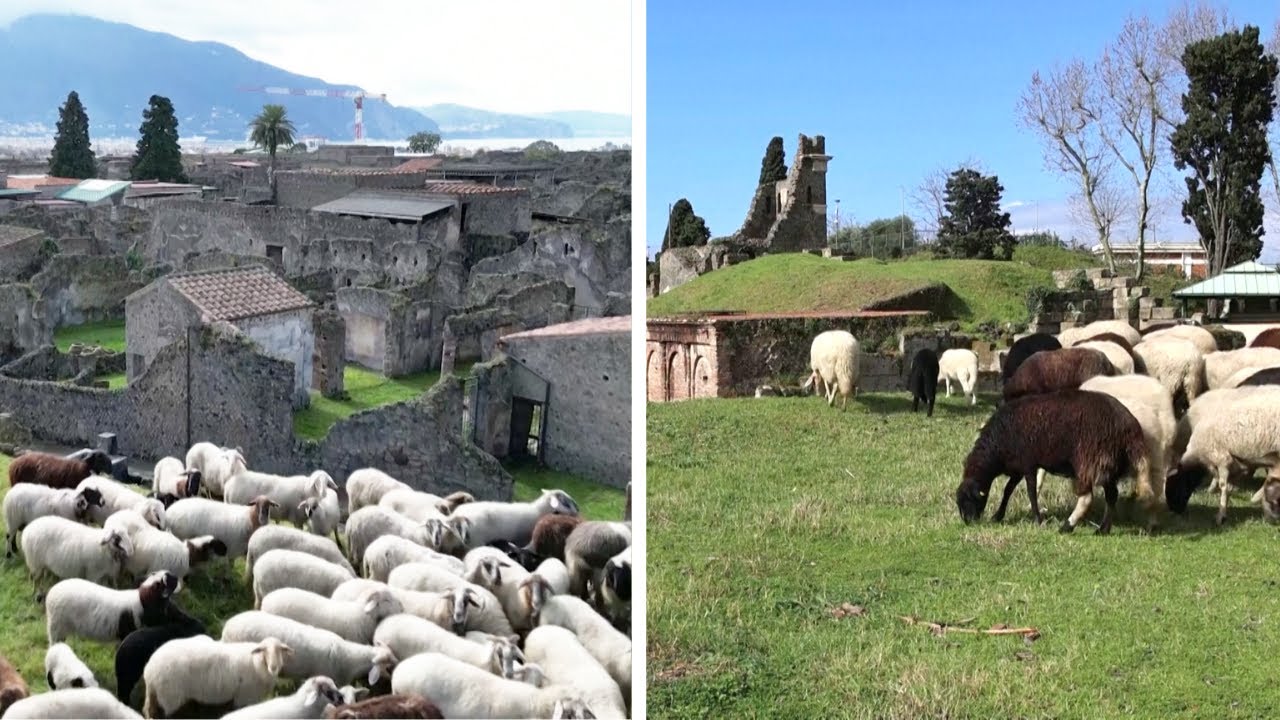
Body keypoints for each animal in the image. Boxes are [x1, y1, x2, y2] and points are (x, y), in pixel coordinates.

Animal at [43, 570, 178, 643]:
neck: (144, 602)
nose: (177, 578)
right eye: (169, 580)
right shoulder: (127, 633)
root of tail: (51, 592)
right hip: (57, 626)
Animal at [141, 635, 292, 718]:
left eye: (280, 650)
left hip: (156, 695)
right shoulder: (243, 698)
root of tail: (150, 670)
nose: (274, 667)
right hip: (171, 698)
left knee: (149, 710)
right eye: (263, 651)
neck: (256, 663)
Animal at [450, 489, 580, 548]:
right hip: (476, 541)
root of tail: (458, 517)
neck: (538, 512)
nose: (578, 509)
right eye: (566, 502)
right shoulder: (523, 539)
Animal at [955, 389, 1153, 534]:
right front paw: (998, 515)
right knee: (1112, 496)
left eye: (969, 499)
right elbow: (1008, 490)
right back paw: (1103, 530)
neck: (998, 445)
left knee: (1087, 497)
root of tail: (1130, 427)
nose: (968, 522)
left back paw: (1067, 526)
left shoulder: (1028, 464)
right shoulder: (1018, 467)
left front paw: (1037, 520)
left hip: (1090, 460)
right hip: (1110, 465)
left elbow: (1031, 492)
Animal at [1165, 386, 1280, 524]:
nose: (1174, 511)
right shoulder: (1237, 465)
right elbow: (1228, 486)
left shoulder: (1222, 459)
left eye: (1173, 485)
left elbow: (1223, 486)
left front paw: (1221, 515)